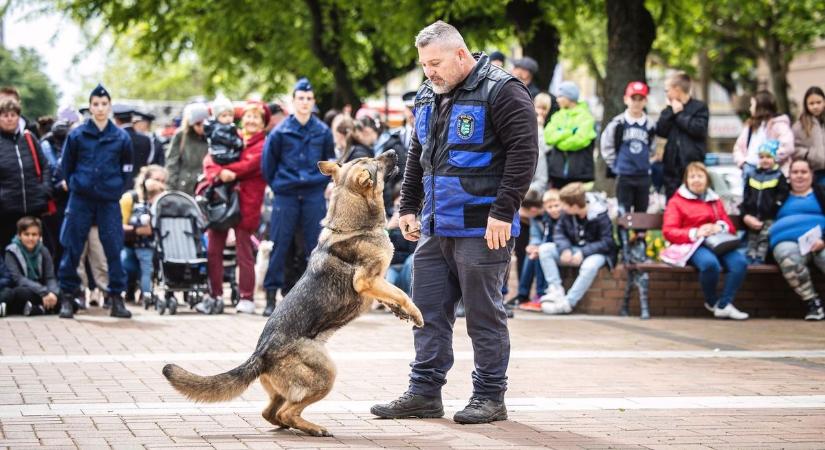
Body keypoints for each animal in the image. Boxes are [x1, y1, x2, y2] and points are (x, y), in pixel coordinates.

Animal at [161, 151, 422, 436]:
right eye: (375, 162)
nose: (394, 152)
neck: (351, 224)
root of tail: (261, 354)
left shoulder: (377, 282)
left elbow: (393, 296)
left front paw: (402, 313)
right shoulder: (367, 280)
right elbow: (403, 294)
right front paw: (416, 314)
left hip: (287, 389)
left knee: (271, 412)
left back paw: (293, 426)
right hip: (327, 373)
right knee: (286, 411)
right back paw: (313, 428)